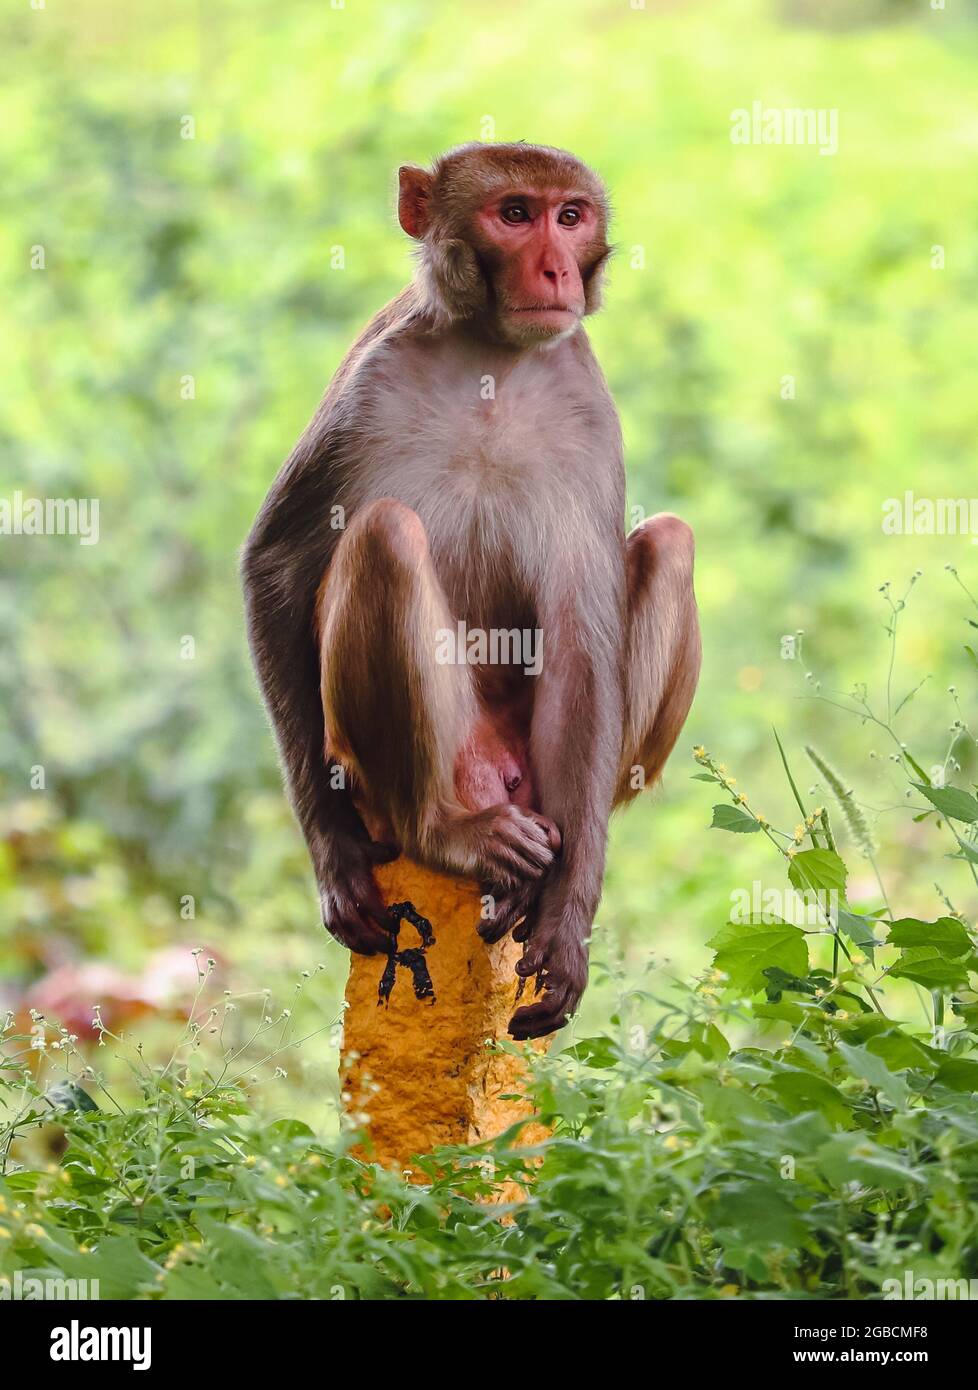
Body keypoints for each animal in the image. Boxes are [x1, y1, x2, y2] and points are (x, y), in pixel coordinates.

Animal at [241, 142, 701, 1040]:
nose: (556, 268)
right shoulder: (368, 382)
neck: (496, 357)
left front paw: (567, 918)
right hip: (410, 763)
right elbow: (275, 566)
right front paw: (335, 857)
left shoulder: (590, 412)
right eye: (514, 215)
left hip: (552, 774)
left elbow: (582, 628)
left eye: (570, 215)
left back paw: (531, 884)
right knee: (385, 535)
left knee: (669, 542)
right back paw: (445, 833)